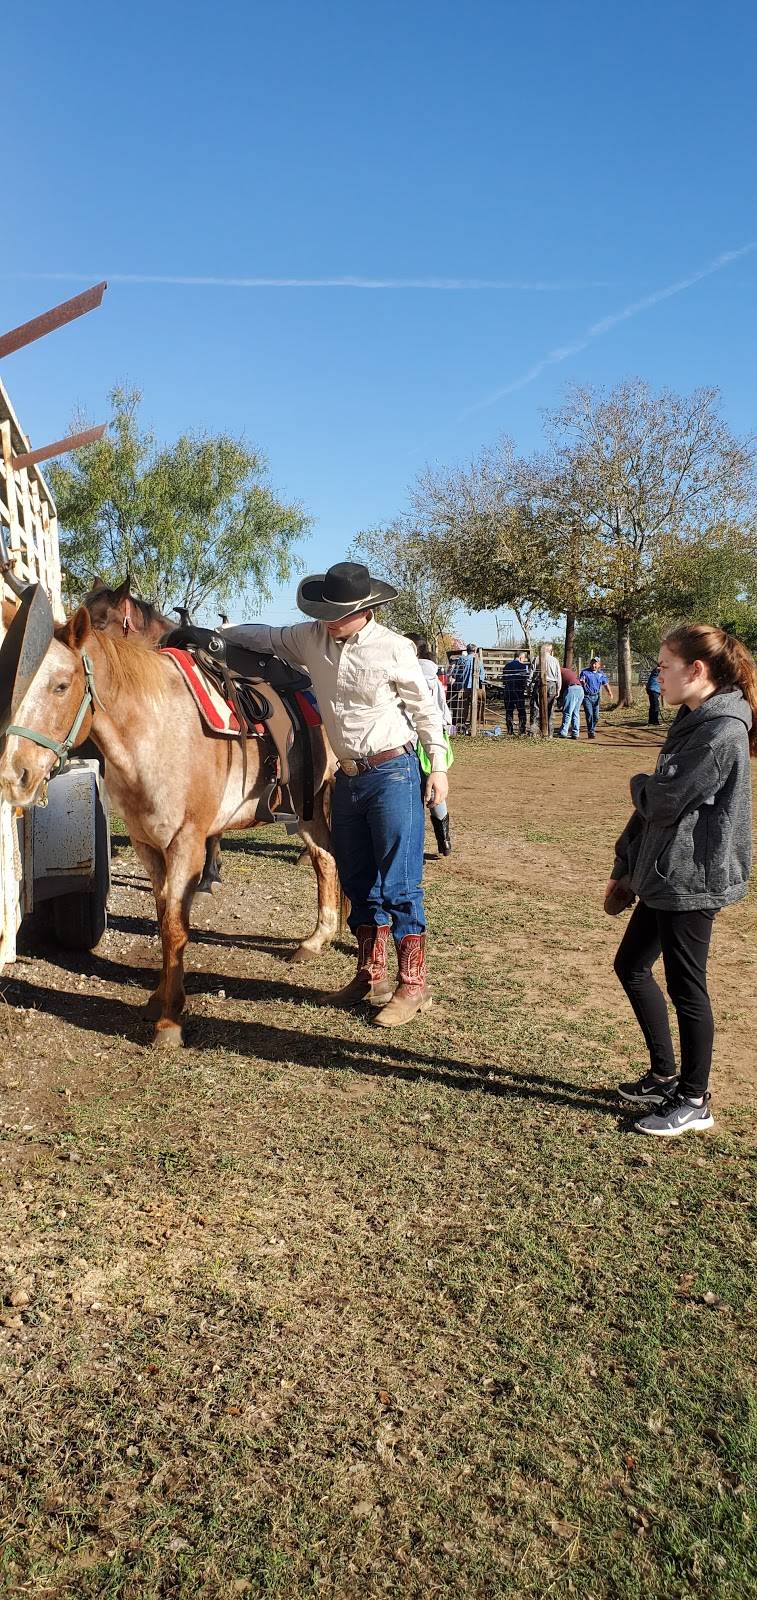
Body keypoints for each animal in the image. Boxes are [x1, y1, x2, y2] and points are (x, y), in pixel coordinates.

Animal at [0, 604, 339, 1043]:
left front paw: (170, 1021)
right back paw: (316, 940)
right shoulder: (148, 844)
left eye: (60, 686)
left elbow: (176, 928)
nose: (14, 776)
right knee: (325, 860)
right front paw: (156, 1001)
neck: (158, 730)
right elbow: (164, 920)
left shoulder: (186, 843)